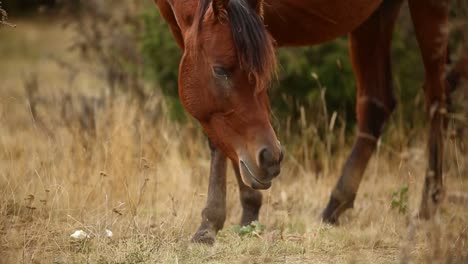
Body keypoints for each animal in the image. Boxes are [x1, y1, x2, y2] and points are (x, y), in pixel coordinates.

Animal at [156, 0, 454, 243]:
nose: (270, 158)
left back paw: (428, 207)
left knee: (437, 98)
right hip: (377, 15)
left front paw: (211, 224)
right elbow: (221, 137)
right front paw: (245, 214)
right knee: (376, 106)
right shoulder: (185, 34)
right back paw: (334, 207)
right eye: (220, 70)